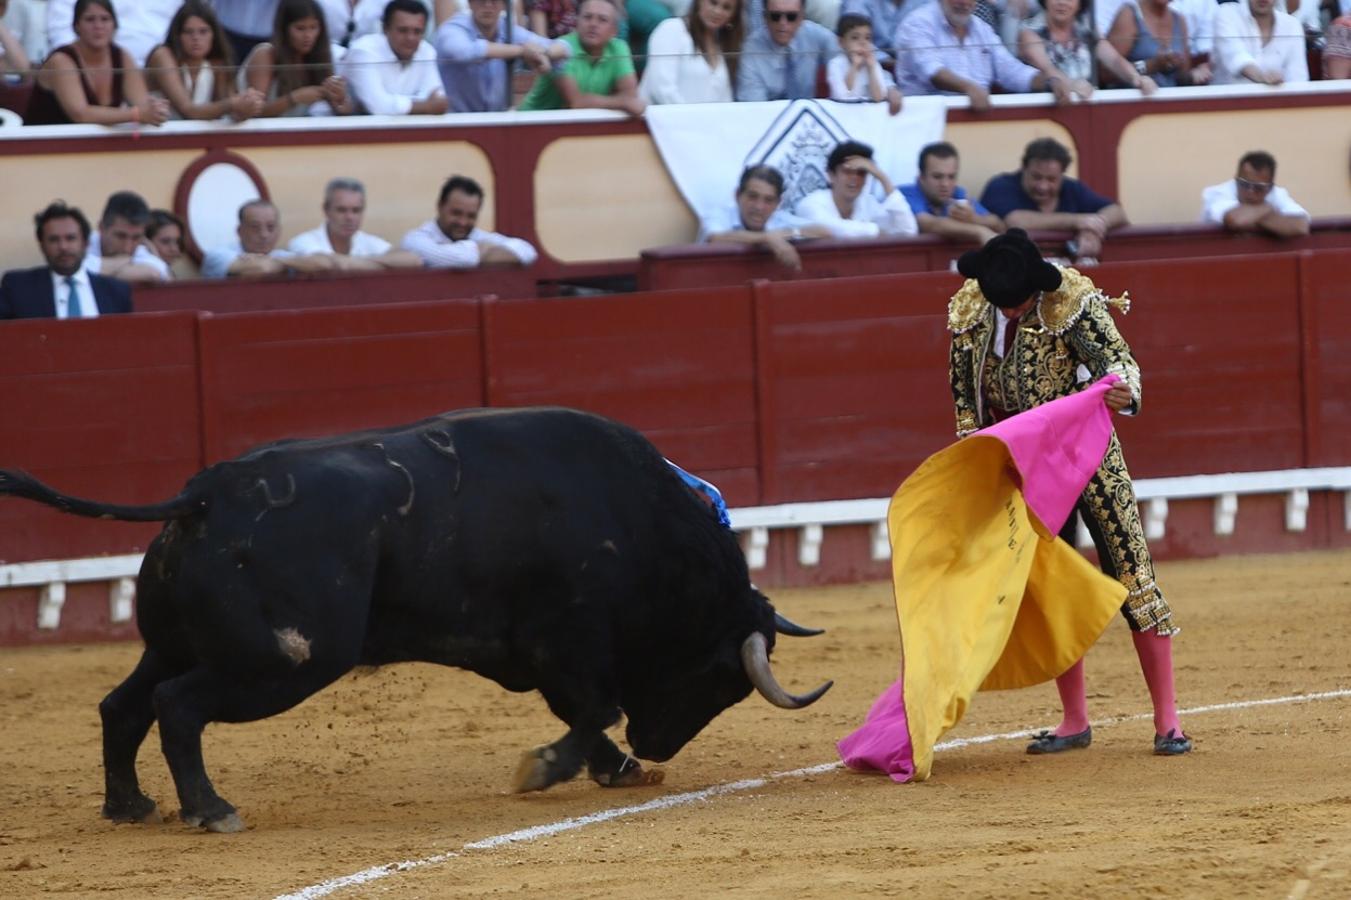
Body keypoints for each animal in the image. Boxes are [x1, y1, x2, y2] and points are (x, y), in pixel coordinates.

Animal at [0, 405, 826, 827]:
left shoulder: (533, 650)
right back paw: (211, 809)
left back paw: (130, 806)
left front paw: (616, 768)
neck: (642, 521)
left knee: (123, 705)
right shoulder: (569, 639)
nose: (659, 746)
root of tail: (204, 496)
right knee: (177, 707)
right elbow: (593, 708)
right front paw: (551, 768)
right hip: (283, 661)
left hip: (176, 645)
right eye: (723, 681)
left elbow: (585, 711)